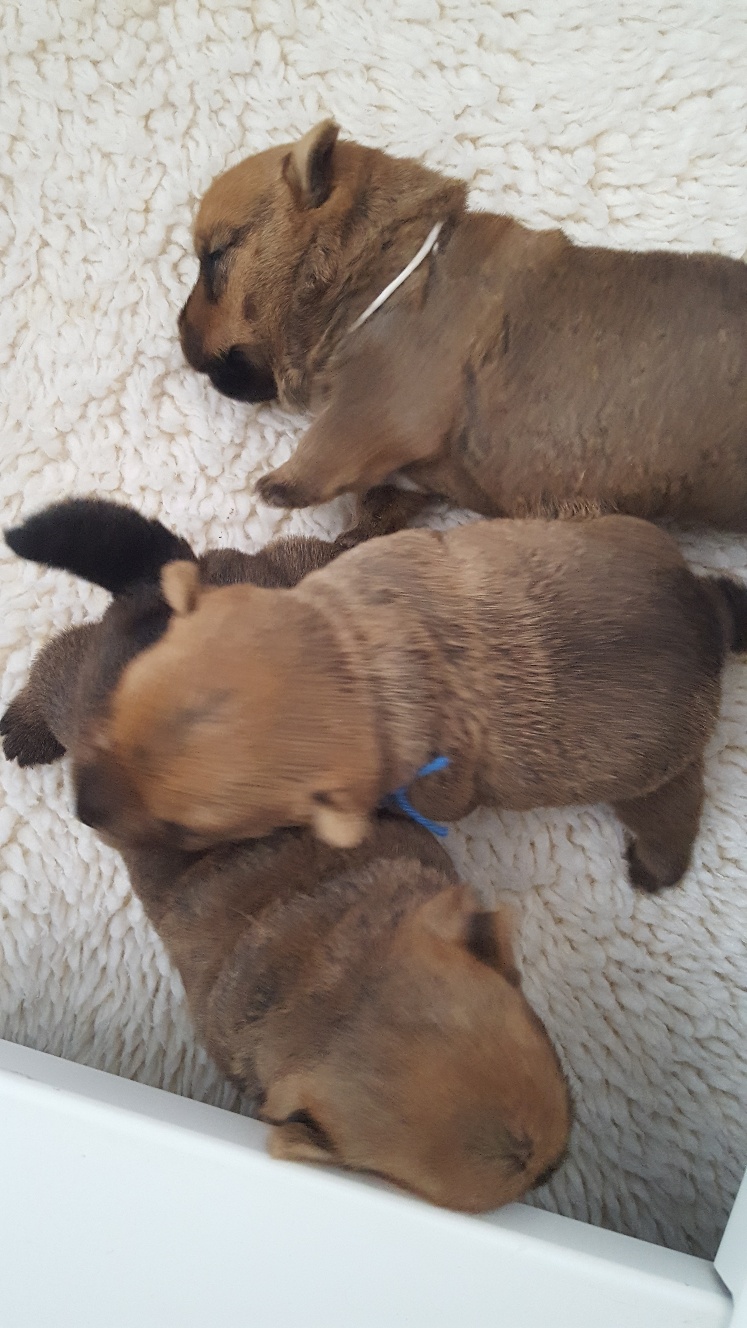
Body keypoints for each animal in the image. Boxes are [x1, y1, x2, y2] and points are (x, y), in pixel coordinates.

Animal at [1, 497, 571, 1212]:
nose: (554, 1170)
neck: (332, 973)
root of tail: (169, 595)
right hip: (79, 690)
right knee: (55, 660)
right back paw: (24, 729)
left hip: (270, 579)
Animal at [68, 513, 747, 893]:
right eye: (116, 706)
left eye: (188, 829)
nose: (82, 808)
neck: (354, 659)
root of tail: (706, 619)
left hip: (651, 767)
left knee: (672, 807)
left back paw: (655, 868)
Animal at [179, 120, 747, 527]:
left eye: (215, 257)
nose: (179, 332)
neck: (387, 261)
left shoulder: (381, 399)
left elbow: (328, 443)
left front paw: (277, 484)